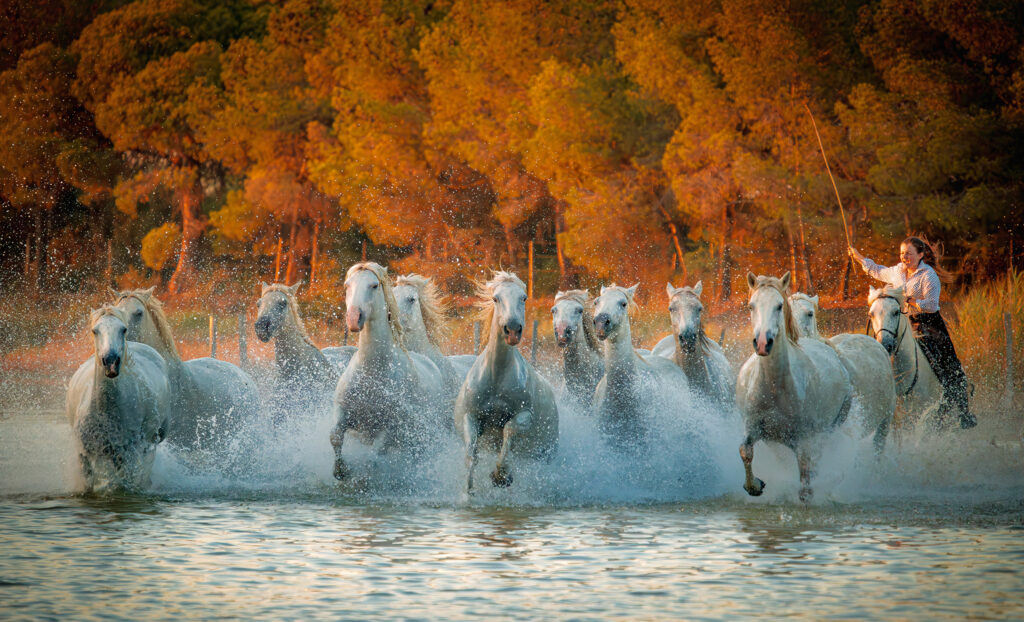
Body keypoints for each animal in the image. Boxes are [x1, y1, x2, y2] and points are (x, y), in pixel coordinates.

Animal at [66, 306, 170, 491]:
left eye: (123, 329)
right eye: (95, 331)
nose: (111, 362)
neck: (104, 410)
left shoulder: (125, 455)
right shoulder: (84, 455)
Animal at [330, 262, 447, 481]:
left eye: (374, 285)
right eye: (347, 285)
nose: (353, 318)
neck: (372, 372)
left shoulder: (391, 429)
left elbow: (374, 455)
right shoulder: (343, 411)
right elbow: (335, 436)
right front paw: (341, 471)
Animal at [454, 271, 558, 492]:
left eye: (524, 298)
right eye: (496, 298)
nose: (512, 329)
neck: (497, 378)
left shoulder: (525, 415)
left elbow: (509, 429)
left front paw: (501, 476)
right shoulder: (471, 416)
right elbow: (471, 457)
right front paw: (468, 492)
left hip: (545, 453)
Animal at [737, 272, 853, 502]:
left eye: (779, 305)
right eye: (751, 306)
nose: (763, 343)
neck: (774, 387)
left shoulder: (804, 439)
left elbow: (805, 479)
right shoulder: (753, 427)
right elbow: (745, 451)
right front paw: (755, 486)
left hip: (830, 428)